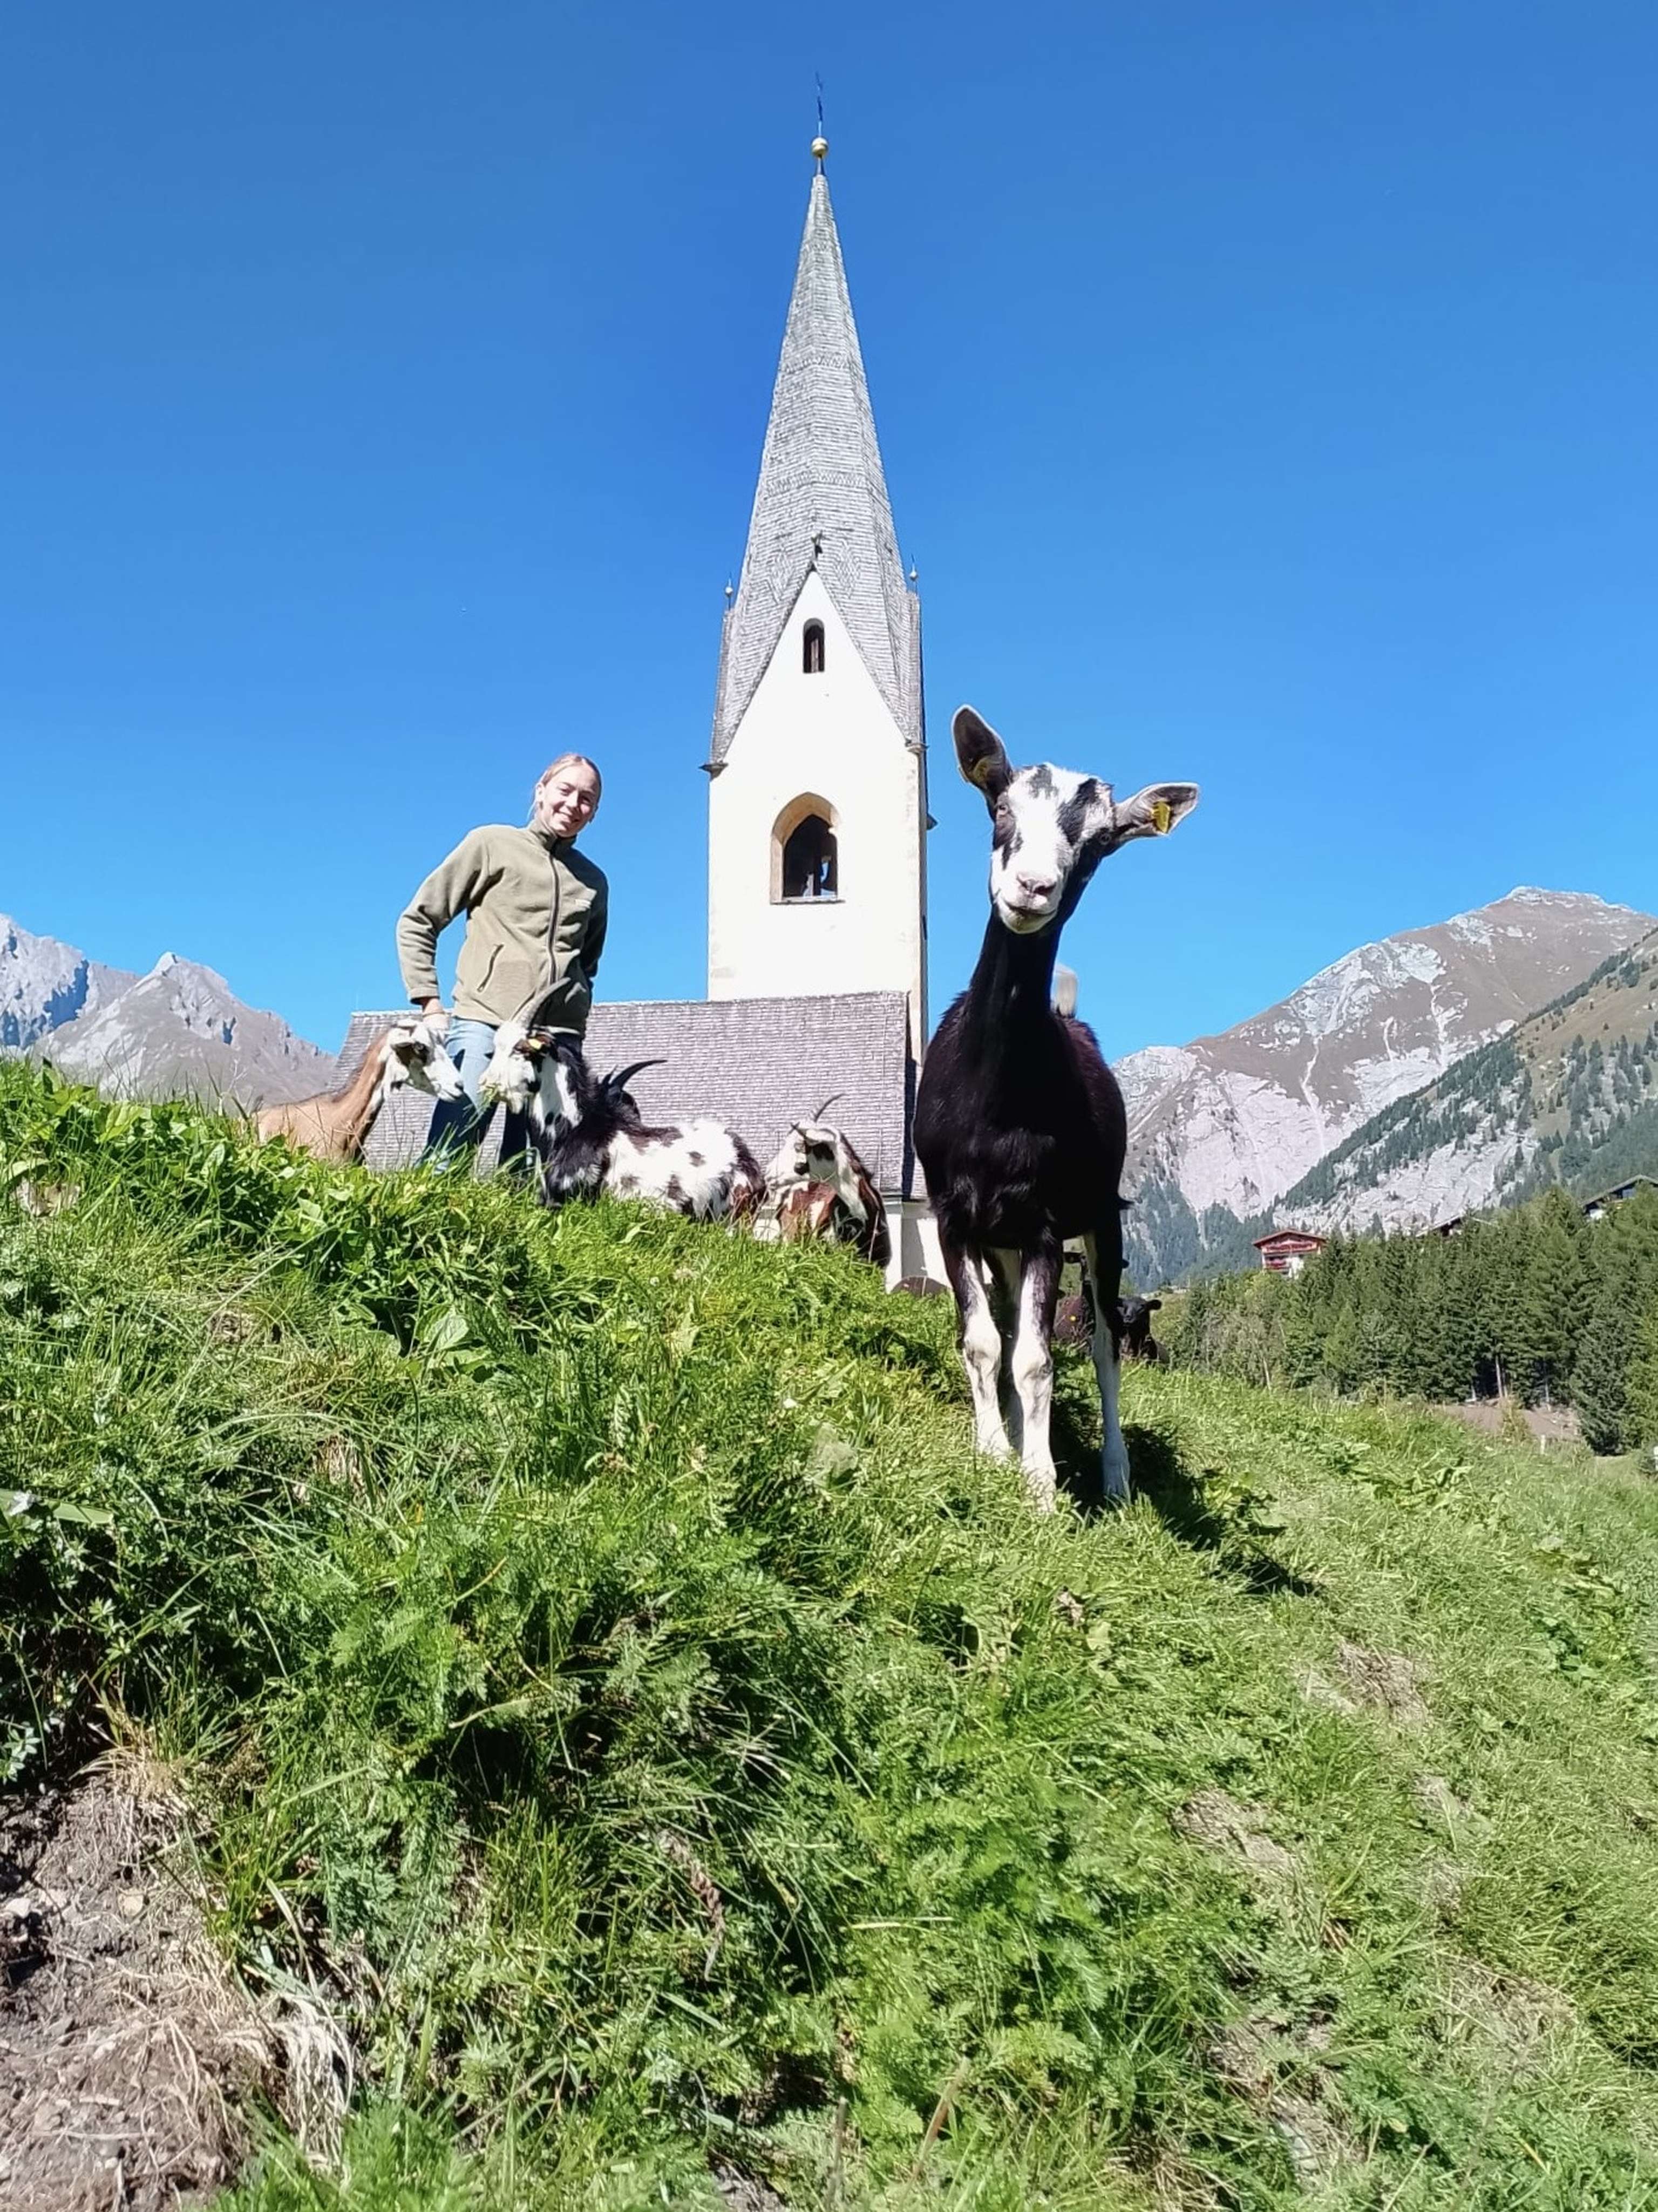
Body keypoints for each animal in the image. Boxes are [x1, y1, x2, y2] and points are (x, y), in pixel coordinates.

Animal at [912, 704, 1197, 1508]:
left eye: (1098, 841)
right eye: (1001, 809)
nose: (1033, 889)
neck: (993, 1099)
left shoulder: (1042, 1222)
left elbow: (1040, 1358)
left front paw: (1040, 1485)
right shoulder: (953, 1212)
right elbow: (985, 1341)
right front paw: (992, 1452)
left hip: (1100, 1219)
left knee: (1102, 1345)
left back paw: (1115, 1475)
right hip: (999, 1236)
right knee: (1012, 1322)